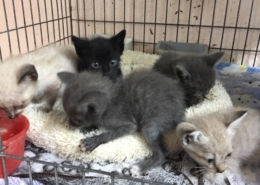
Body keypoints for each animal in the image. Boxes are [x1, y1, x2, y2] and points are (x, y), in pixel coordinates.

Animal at [58, 69, 186, 176]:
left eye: (76, 119)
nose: (69, 124)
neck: (110, 103)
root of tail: (181, 107)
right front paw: (88, 128)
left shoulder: (128, 124)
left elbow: (109, 133)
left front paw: (92, 141)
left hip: (152, 122)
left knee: (161, 153)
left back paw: (139, 168)